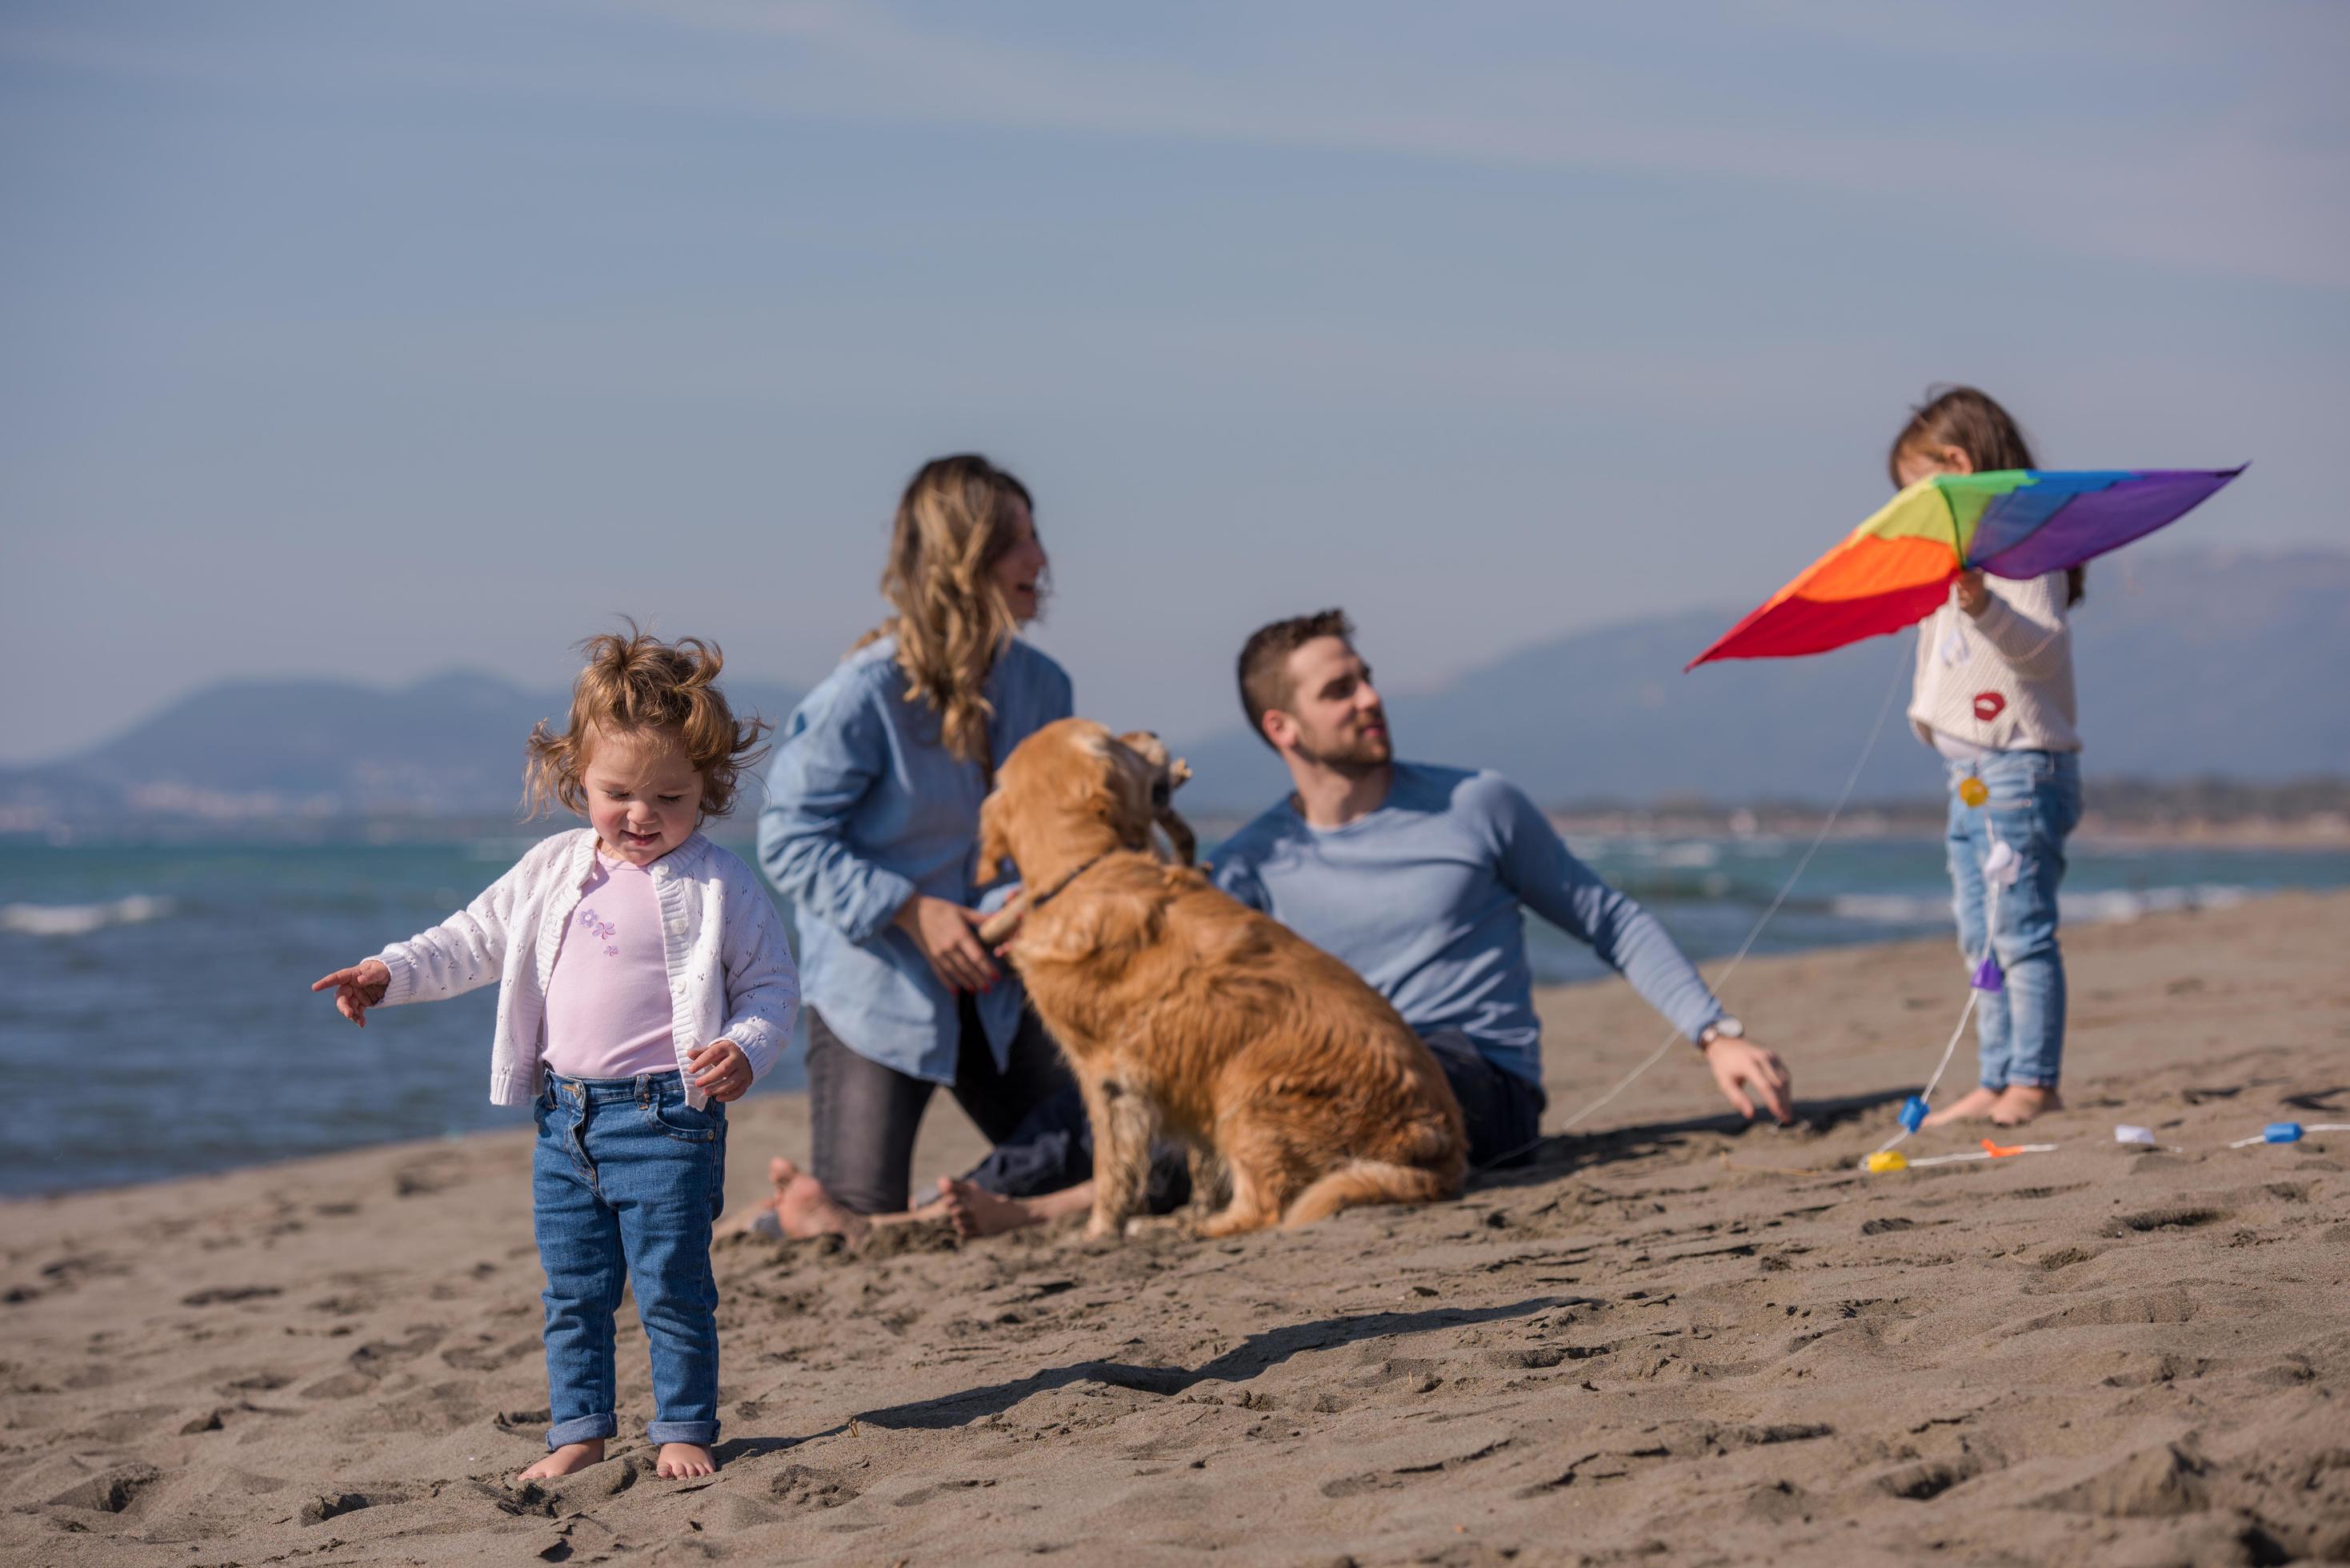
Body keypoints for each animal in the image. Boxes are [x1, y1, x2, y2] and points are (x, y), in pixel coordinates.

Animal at [968, 719, 1447, 1241]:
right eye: (1116, 739)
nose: (1152, 731)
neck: (1082, 867)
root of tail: (1445, 1152)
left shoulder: (1105, 1075)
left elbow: (1111, 1167)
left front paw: (1099, 1230)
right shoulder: (1180, 1069)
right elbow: (1197, 1162)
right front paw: (1187, 1206)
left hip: (1247, 1091)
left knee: (1266, 1207)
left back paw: (1182, 1229)